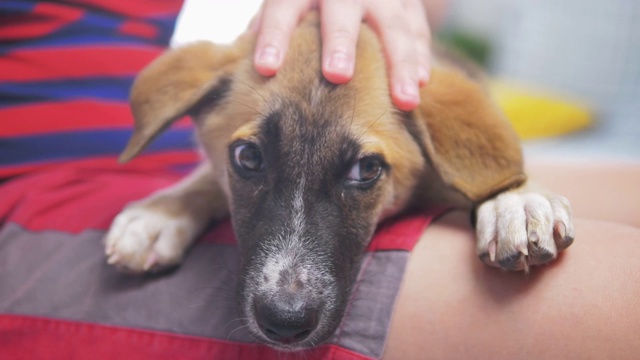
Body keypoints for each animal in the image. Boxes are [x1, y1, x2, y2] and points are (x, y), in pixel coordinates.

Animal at [105, 14, 576, 352]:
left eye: (366, 170)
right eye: (248, 157)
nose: (285, 322)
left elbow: (500, 174)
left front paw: (517, 201)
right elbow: (205, 176)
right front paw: (159, 215)